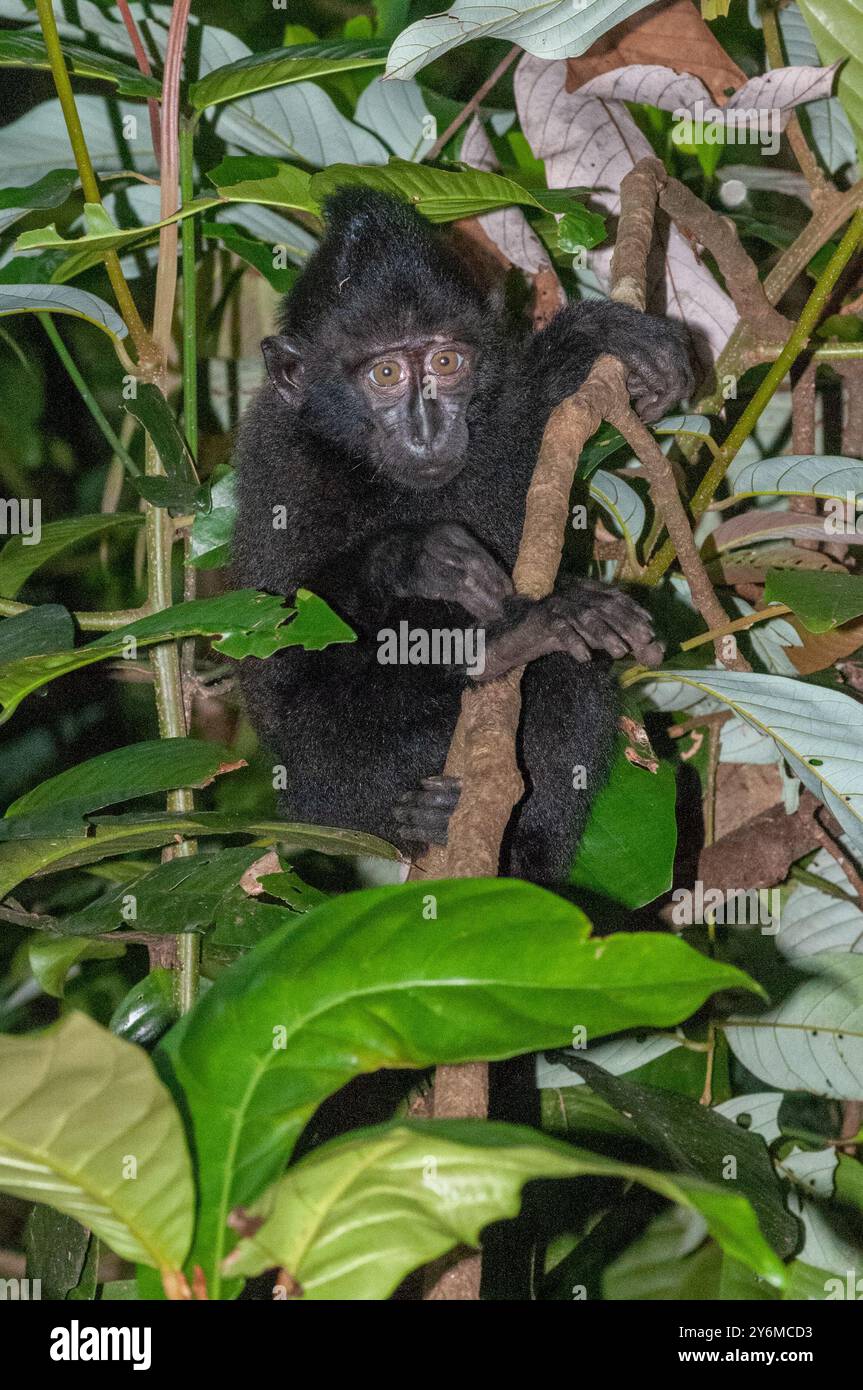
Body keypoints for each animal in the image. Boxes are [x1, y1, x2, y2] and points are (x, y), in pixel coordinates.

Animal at [232, 188, 694, 885]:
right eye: (386, 374)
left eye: (446, 362)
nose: (427, 429)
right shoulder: (275, 461)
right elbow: (277, 647)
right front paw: (412, 558)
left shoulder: (504, 420)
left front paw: (589, 338)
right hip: (325, 801)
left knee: (571, 673)